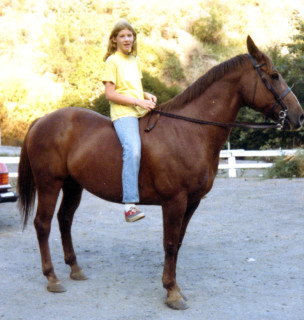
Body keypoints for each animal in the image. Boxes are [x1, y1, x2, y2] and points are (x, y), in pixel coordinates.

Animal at [17, 36, 302, 308]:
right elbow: (169, 245)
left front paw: (173, 287)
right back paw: (52, 278)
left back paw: (75, 269)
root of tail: (41, 121)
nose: (298, 116)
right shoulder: (174, 201)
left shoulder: (192, 202)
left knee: (64, 219)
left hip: (73, 185)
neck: (191, 130)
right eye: (274, 75)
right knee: (42, 224)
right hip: (50, 184)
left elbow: (177, 243)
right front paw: (172, 292)